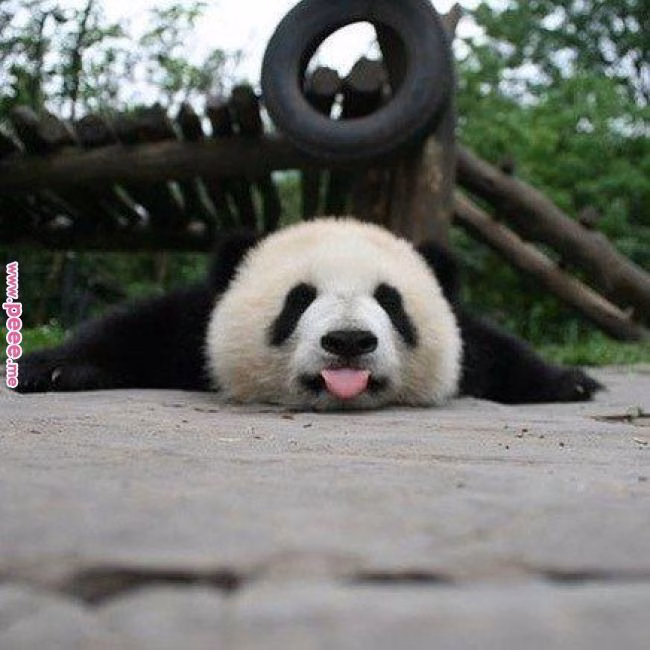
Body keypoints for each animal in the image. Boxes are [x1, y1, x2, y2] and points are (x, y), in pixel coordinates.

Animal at [14, 218, 601, 409]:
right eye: (298, 300)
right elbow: (137, 327)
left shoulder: (470, 338)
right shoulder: (191, 325)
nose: (348, 342)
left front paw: (569, 382)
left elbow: (492, 345)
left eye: (391, 301)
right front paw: (50, 368)